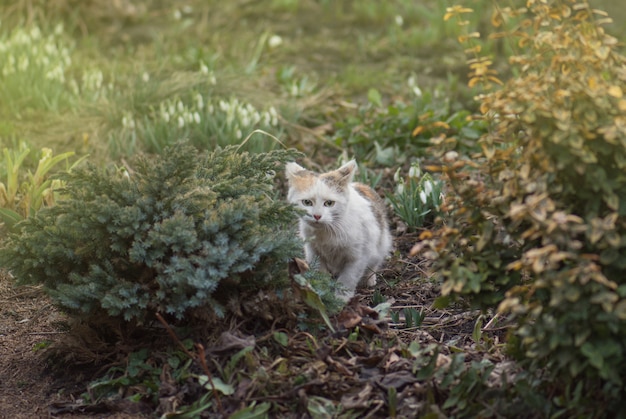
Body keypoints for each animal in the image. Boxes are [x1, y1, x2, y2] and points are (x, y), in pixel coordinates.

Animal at [284, 160, 390, 302]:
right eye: (307, 202)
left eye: (329, 203)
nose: (317, 216)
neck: (328, 231)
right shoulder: (313, 251)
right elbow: (320, 272)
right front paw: (322, 292)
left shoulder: (359, 256)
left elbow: (348, 277)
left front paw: (341, 298)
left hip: (380, 245)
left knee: (374, 263)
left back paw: (369, 279)